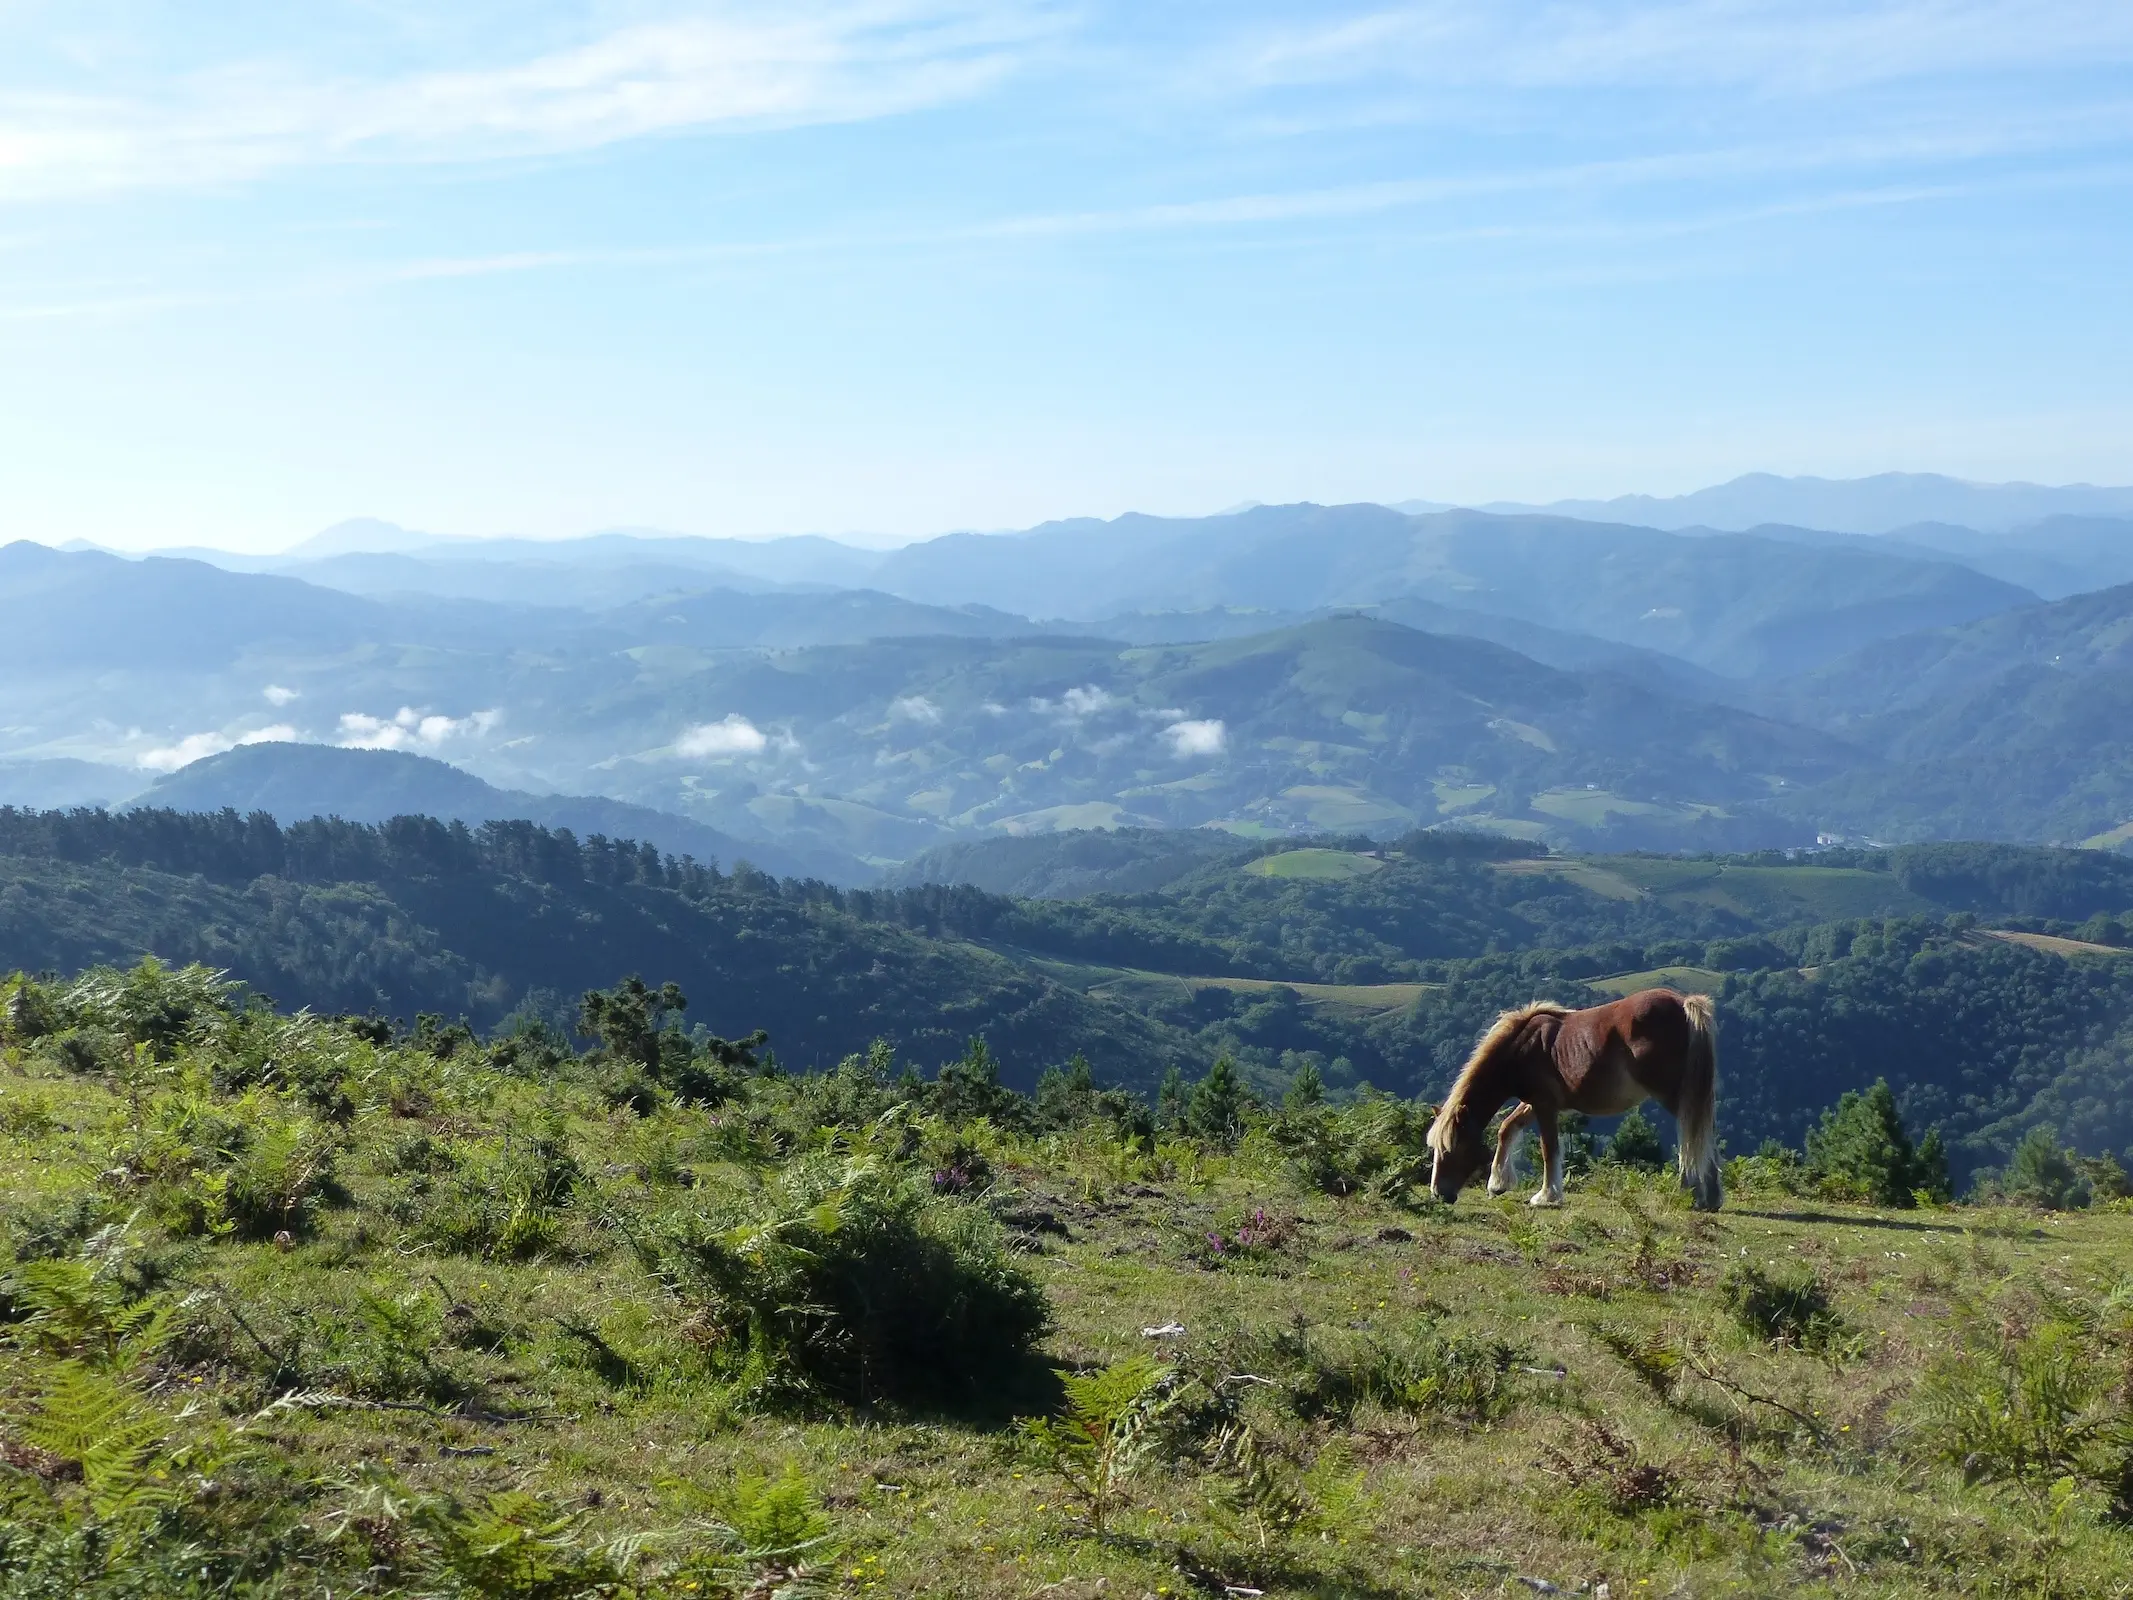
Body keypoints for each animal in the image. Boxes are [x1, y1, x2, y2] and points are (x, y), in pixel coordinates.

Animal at [1424, 989, 1723, 1211]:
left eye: (1452, 1148)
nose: (1438, 1193)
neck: (1522, 1047)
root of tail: (1683, 1003)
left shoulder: (1544, 1105)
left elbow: (1549, 1149)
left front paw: (1546, 1196)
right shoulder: (1534, 1103)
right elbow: (1507, 1128)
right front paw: (1498, 1184)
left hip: (1674, 1095)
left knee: (1692, 1135)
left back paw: (1693, 1194)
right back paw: (1709, 1198)